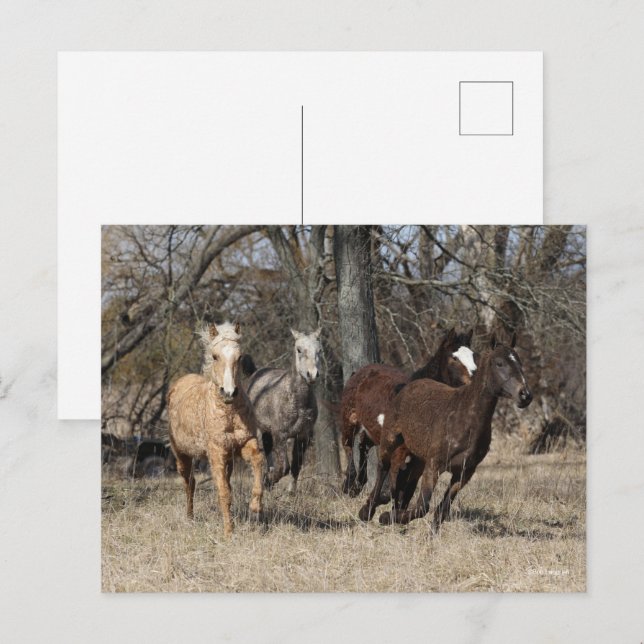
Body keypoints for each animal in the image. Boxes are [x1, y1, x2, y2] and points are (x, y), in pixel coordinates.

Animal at [167, 322, 264, 536]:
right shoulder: (216, 452)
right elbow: (224, 493)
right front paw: (229, 532)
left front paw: (255, 507)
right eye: (214, 356)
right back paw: (190, 519)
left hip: (228, 460)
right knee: (189, 483)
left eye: (239, 356)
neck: (228, 413)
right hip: (182, 455)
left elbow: (257, 461)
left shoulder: (245, 443)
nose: (229, 392)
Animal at [246, 328, 321, 493]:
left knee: (268, 449)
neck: (298, 402)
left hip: (267, 431)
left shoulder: (303, 435)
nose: (312, 375)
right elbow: (285, 467)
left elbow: (296, 465)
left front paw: (291, 492)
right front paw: (268, 481)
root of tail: (256, 373)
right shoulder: (280, 435)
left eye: (319, 350)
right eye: (299, 349)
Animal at [340, 328, 475, 498]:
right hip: (349, 419)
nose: (474, 378)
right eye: (454, 357)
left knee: (363, 445)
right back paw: (349, 485)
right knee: (348, 444)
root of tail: (358, 372)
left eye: (473, 355)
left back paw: (358, 484)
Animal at [358, 334, 533, 530]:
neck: (464, 419)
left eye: (519, 362)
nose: (525, 395)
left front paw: (429, 533)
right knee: (383, 467)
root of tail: (409, 385)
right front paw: (387, 517)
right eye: (499, 363)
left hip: (416, 457)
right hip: (391, 440)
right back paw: (367, 511)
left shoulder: (463, 473)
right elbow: (422, 507)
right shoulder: (434, 466)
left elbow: (442, 510)